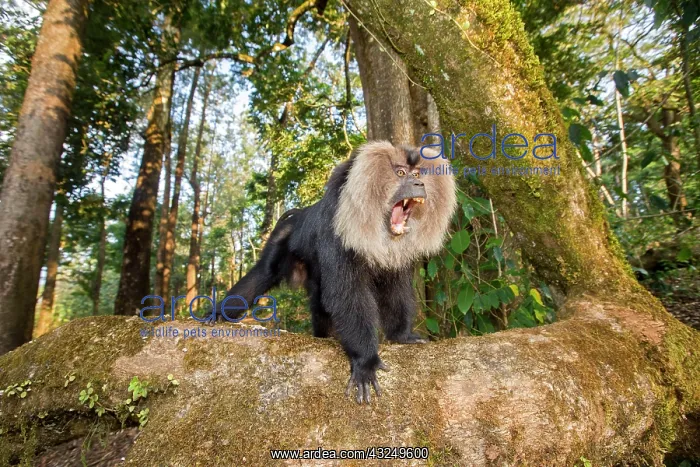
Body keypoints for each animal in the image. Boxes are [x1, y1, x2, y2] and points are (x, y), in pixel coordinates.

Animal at [221, 141, 457, 403]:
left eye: (417, 174)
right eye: (401, 173)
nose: (419, 184)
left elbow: (396, 292)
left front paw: (402, 336)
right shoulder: (336, 233)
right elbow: (346, 296)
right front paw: (366, 361)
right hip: (282, 237)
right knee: (264, 272)